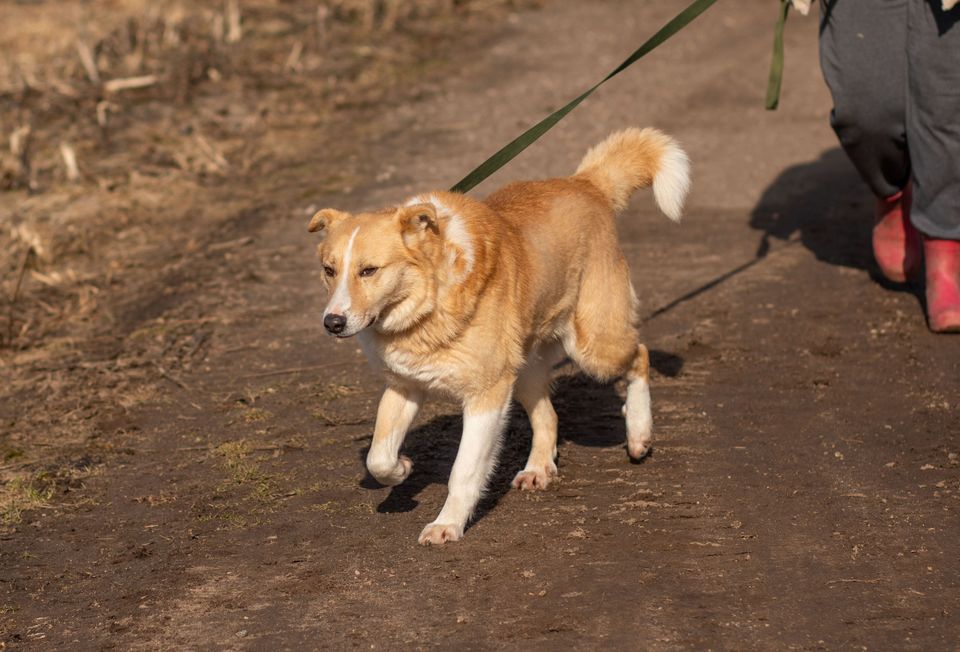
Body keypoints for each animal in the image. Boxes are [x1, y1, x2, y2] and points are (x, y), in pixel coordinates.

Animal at [312, 127, 692, 544]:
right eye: (329, 270)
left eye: (369, 270)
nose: (332, 323)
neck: (427, 307)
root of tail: (584, 183)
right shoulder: (404, 387)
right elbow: (378, 457)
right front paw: (403, 468)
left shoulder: (486, 395)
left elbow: (463, 471)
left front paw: (447, 524)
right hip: (524, 371)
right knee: (548, 415)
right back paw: (539, 469)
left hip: (593, 344)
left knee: (639, 354)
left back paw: (639, 435)